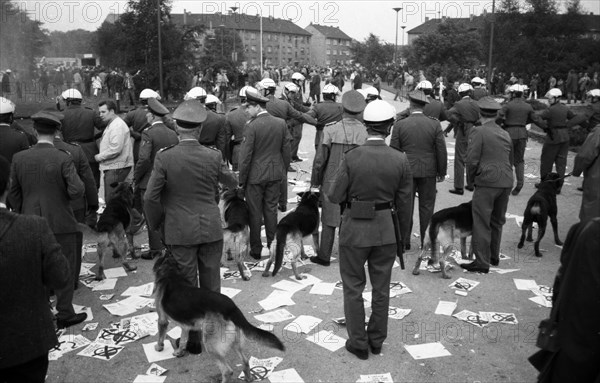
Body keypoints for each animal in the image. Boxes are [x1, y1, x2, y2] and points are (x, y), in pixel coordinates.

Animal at [155, 254, 286, 382]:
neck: (171, 272)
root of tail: (232, 307)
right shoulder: (186, 326)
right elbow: (183, 340)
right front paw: (179, 351)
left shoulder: (162, 319)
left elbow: (161, 334)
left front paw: (159, 347)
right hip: (235, 341)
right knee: (245, 362)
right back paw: (248, 378)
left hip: (210, 344)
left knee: (227, 371)